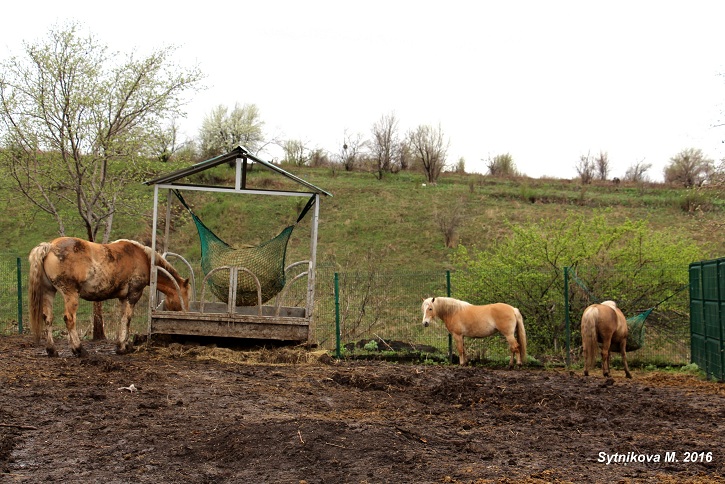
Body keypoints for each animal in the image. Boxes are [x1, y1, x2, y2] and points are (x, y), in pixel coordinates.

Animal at [28, 237, 189, 356]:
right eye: (186, 296)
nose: (185, 312)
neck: (142, 257)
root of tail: (49, 246)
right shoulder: (133, 295)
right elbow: (127, 319)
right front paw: (122, 348)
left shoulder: (123, 298)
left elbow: (123, 319)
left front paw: (122, 345)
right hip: (70, 294)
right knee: (69, 319)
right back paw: (79, 349)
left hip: (49, 292)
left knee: (48, 318)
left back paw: (52, 350)